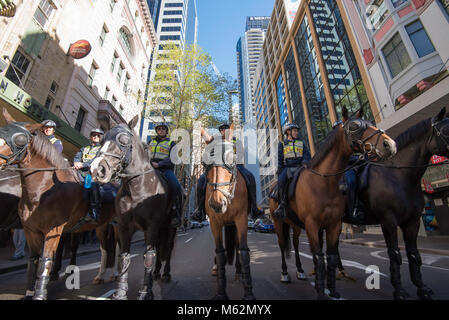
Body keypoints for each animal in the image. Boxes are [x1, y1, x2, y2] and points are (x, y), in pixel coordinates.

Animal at [0, 109, 116, 300]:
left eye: (19, 139)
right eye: (1, 131)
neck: (42, 190)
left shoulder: (53, 231)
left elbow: (45, 261)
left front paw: (39, 294)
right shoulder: (31, 231)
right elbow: (33, 261)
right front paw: (29, 292)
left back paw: (114, 273)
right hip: (100, 226)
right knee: (105, 248)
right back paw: (100, 275)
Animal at [201, 124, 254, 300]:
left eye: (232, 159)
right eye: (204, 162)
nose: (217, 203)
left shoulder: (242, 219)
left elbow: (243, 250)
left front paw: (249, 292)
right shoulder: (215, 222)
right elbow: (220, 252)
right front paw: (221, 292)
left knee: (237, 246)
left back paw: (239, 272)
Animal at [270, 107, 396, 300]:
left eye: (370, 122)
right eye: (354, 126)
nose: (389, 144)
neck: (324, 182)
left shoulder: (334, 224)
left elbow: (330, 256)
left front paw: (333, 290)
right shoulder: (312, 224)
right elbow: (318, 256)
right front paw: (321, 292)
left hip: (295, 224)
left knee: (296, 244)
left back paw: (300, 271)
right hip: (278, 222)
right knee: (282, 244)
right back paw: (285, 274)